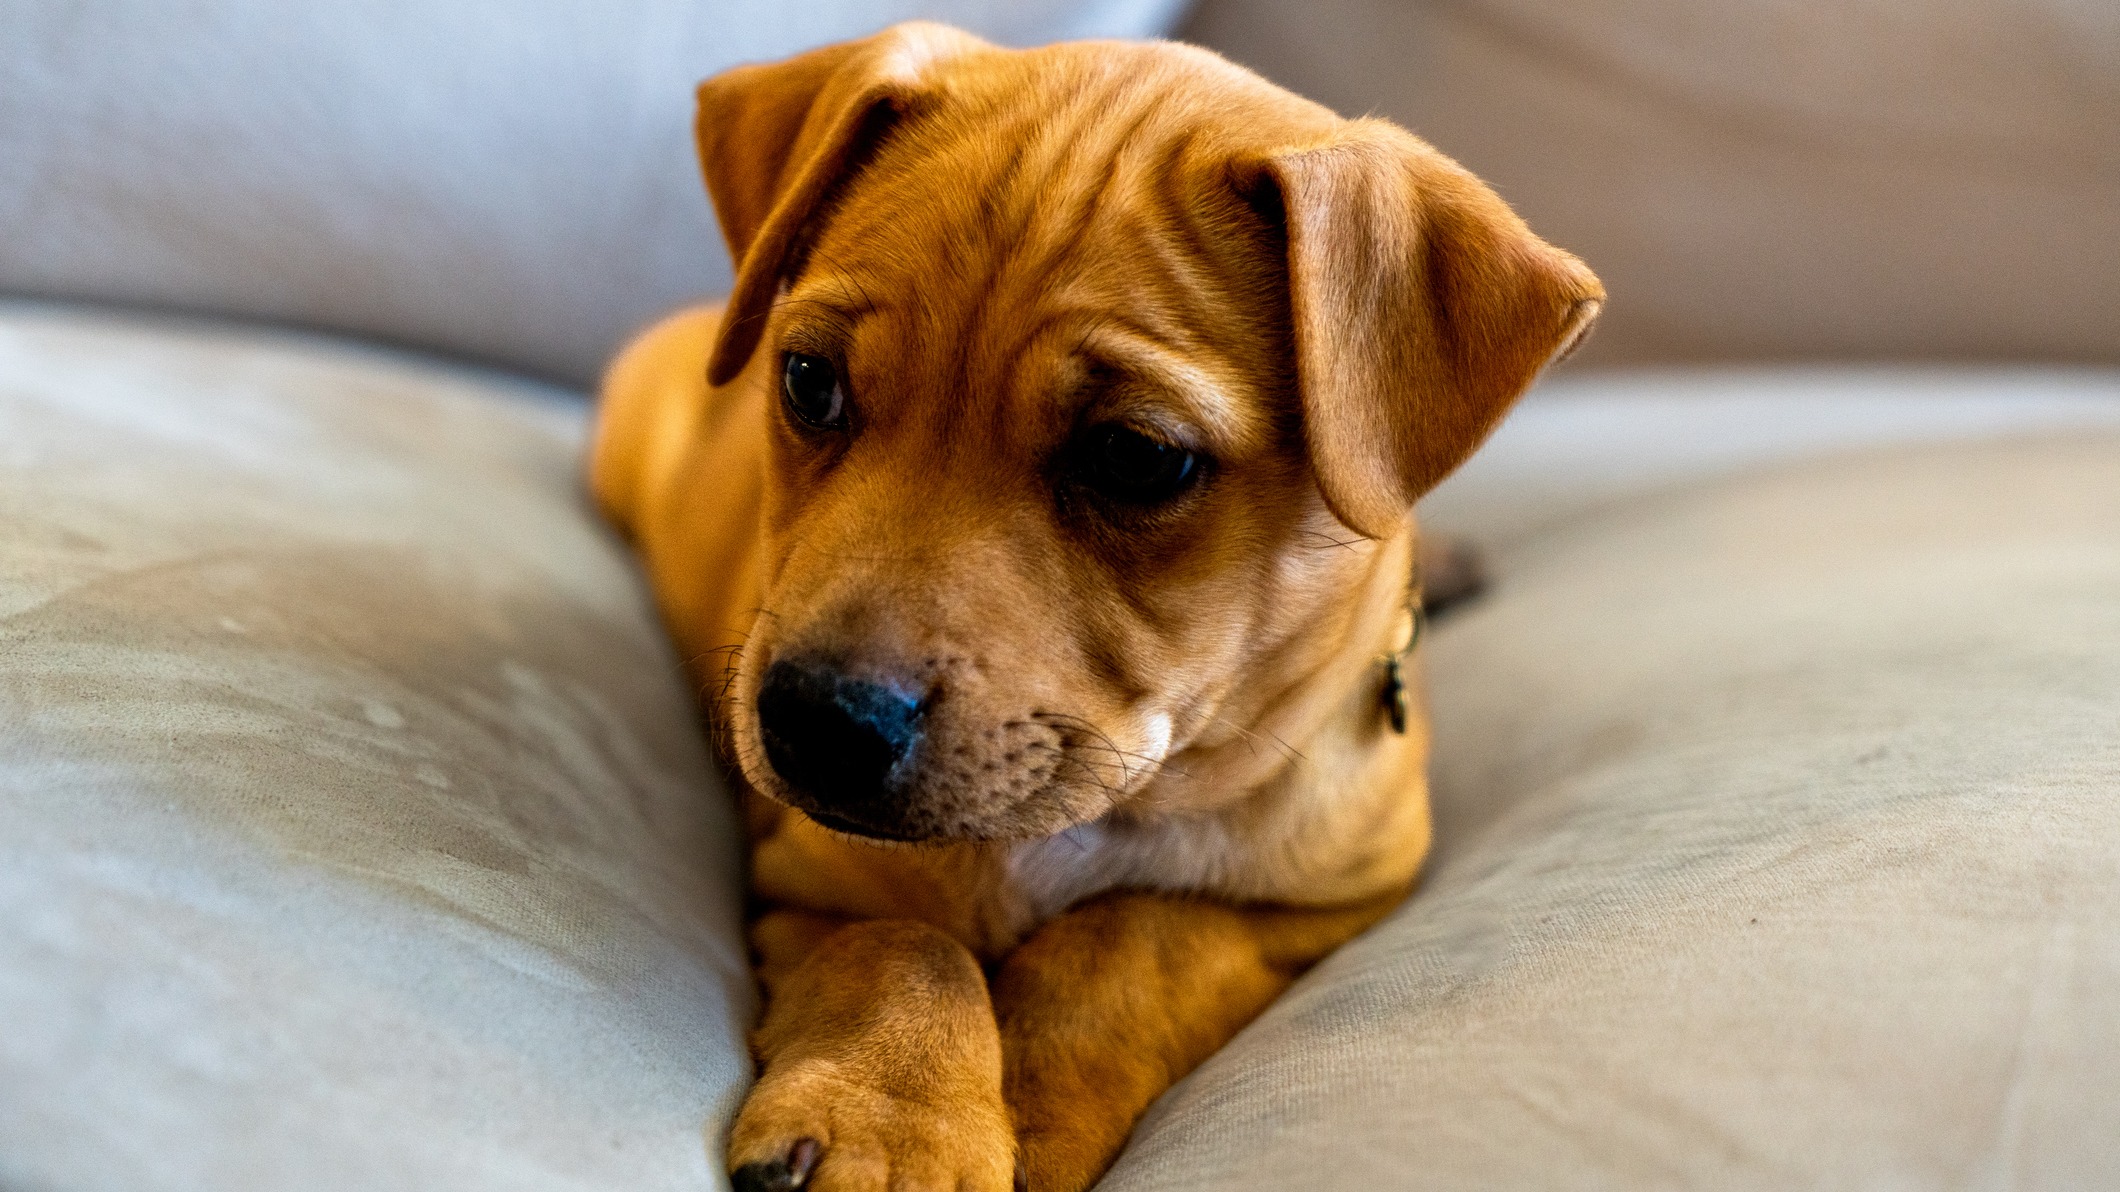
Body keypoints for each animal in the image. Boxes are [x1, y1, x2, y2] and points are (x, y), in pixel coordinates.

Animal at [589, 23, 1594, 1187]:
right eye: (805, 381)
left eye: (1136, 457)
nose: (815, 727)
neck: (1109, 809)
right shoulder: (808, 880)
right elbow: (905, 945)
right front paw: (895, 1124)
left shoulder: (1329, 902)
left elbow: (1144, 935)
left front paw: (1038, 1097)